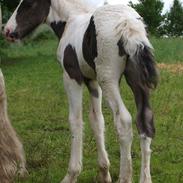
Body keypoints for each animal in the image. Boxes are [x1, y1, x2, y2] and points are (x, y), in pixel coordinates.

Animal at [4, 0, 159, 182]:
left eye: (28, 4)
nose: (8, 31)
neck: (70, 20)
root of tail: (129, 25)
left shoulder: (72, 77)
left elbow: (75, 120)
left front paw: (71, 174)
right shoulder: (92, 81)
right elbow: (97, 120)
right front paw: (104, 173)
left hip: (109, 79)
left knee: (123, 121)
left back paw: (124, 177)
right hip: (135, 80)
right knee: (145, 121)